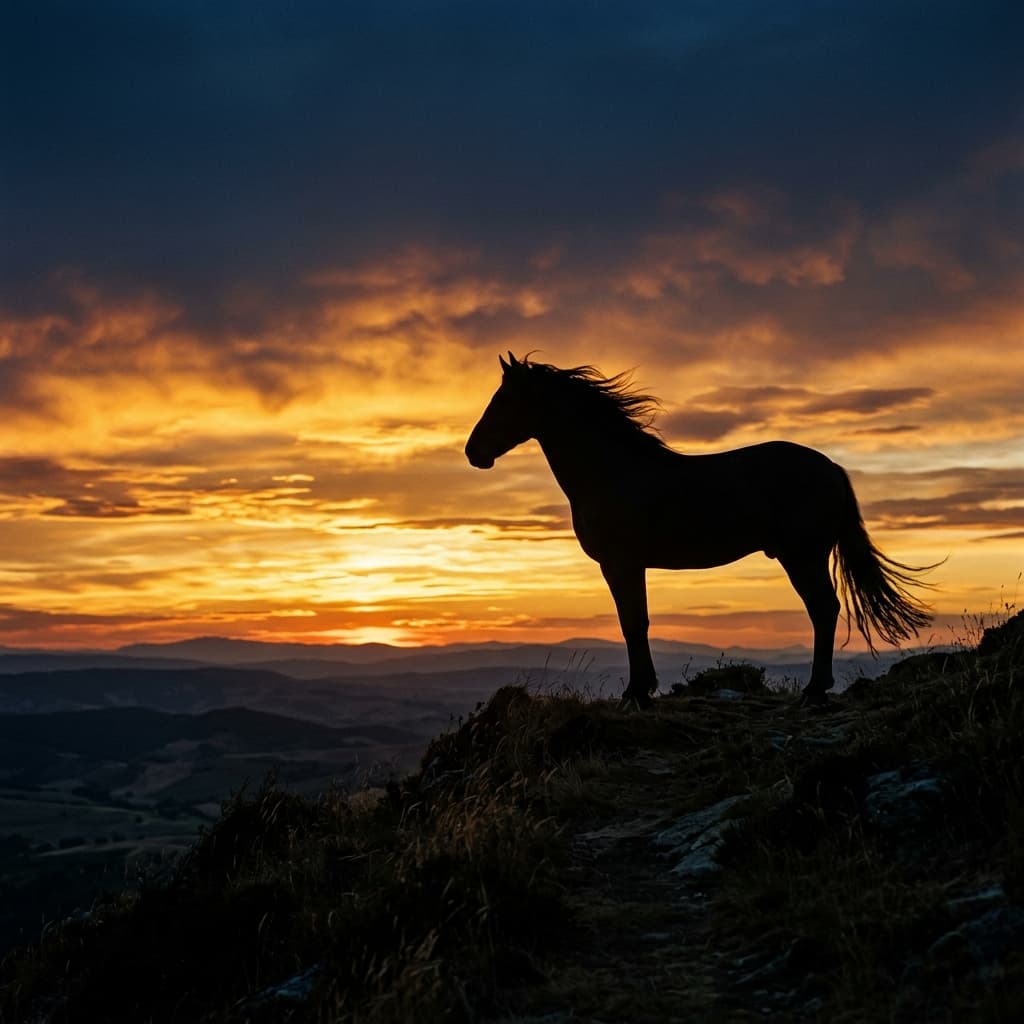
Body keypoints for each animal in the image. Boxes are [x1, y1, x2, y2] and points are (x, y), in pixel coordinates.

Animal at [465, 352, 934, 707]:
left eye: (503, 400)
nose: (473, 453)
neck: (613, 471)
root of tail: (831, 466)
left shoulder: (620, 564)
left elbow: (632, 623)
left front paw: (637, 693)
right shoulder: (629, 565)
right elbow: (637, 621)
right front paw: (643, 690)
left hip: (802, 555)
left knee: (823, 609)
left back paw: (814, 691)